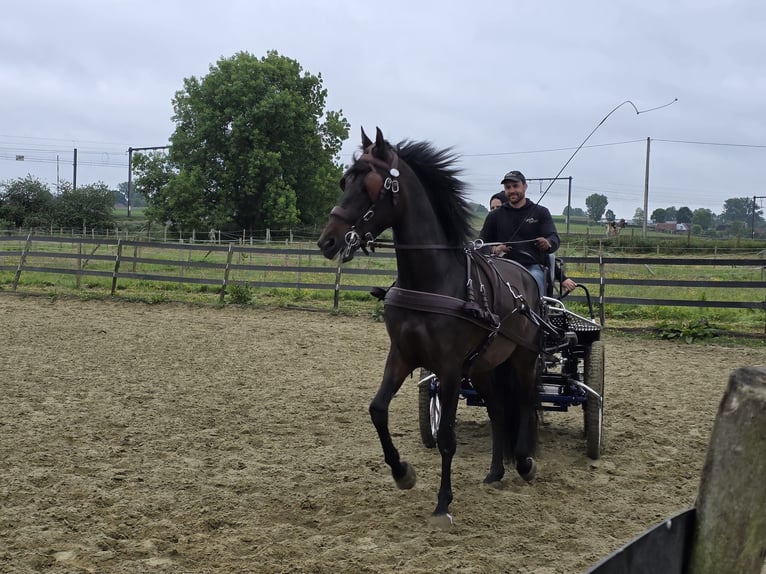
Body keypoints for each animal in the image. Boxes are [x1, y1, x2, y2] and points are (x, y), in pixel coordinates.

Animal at [317, 127, 543, 527]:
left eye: (371, 186)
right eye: (346, 181)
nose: (327, 240)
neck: (432, 281)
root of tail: (524, 275)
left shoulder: (450, 369)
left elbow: (447, 438)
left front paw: (443, 504)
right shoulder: (402, 355)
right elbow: (377, 410)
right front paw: (402, 472)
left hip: (522, 358)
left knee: (525, 402)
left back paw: (523, 463)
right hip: (483, 366)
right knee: (500, 411)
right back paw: (495, 472)